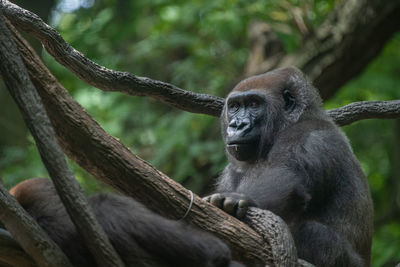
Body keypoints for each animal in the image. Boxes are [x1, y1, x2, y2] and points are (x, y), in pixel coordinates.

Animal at [205, 67, 374, 267]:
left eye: (254, 104)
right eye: (234, 107)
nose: (237, 125)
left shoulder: (309, 136)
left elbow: (288, 180)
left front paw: (238, 199)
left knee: (311, 232)